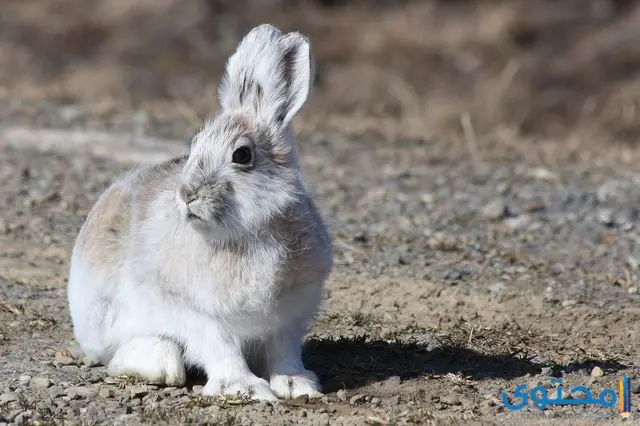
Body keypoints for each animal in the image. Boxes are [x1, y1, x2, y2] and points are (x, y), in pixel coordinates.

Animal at [67, 24, 332, 402]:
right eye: (194, 146)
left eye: (242, 155)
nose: (187, 194)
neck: (244, 233)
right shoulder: (196, 312)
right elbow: (221, 349)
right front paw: (243, 388)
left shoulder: (288, 316)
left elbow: (283, 352)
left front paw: (297, 385)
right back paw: (159, 364)